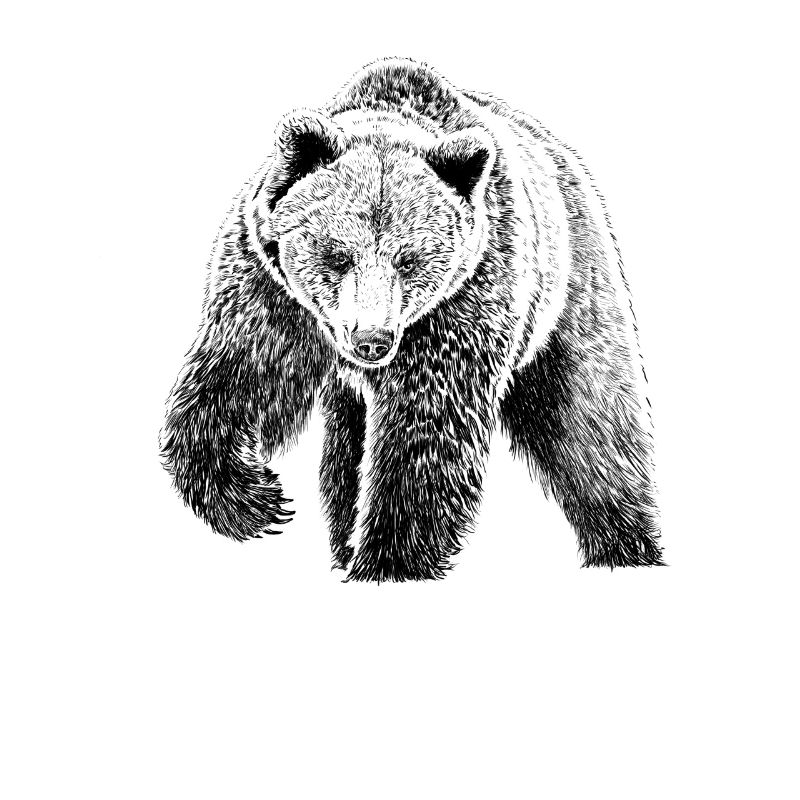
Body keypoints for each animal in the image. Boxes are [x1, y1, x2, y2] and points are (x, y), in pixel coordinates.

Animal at [160, 58, 663, 581]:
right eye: (337, 254)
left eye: (410, 259)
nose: (371, 339)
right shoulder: (272, 294)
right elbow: (235, 380)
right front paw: (257, 501)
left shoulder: (461, 307)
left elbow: (425, 435)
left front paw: (390, 560)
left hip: (571, 293)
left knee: (590, 424)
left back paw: (626, 544)